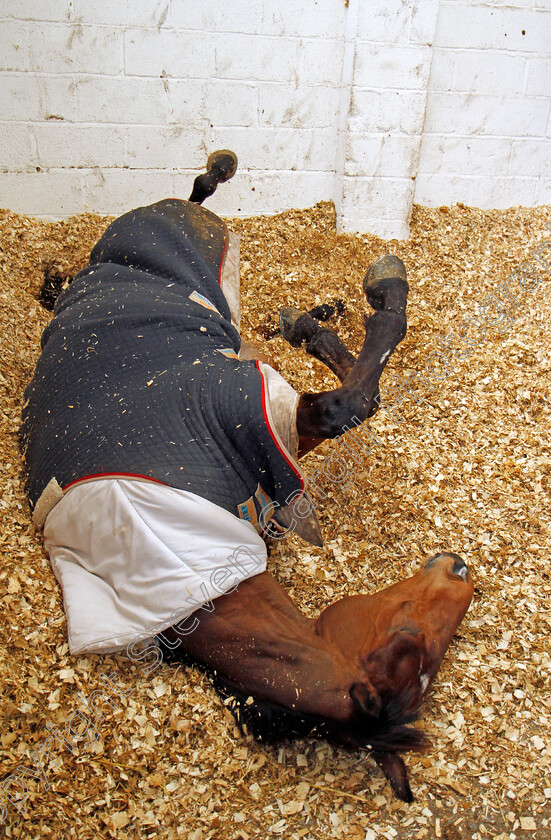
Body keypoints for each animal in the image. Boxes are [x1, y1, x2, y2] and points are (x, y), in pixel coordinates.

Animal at [21, 149, 474, 800]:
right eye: (411, 646)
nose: (462, 571)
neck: (190, 572)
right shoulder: (253, 413)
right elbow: (354, 401)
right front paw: (376, 300)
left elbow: (355, 394)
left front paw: (316, 323)